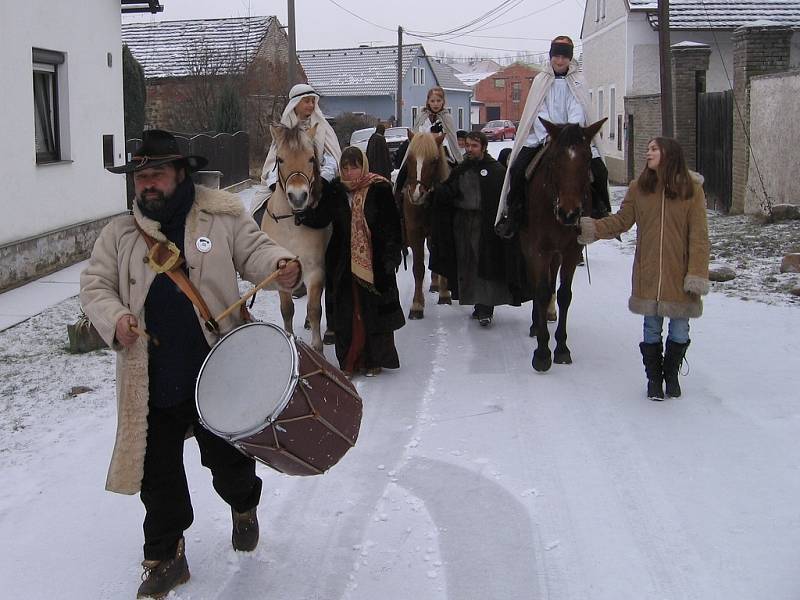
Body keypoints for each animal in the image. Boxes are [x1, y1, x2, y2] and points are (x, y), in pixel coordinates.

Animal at [400, 131, 450, 318]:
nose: (416, 194)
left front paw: (445, 294)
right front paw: (417, 305)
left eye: (434, 160)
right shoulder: (415, 232)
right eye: (409, 158)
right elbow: (418, 268)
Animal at [520, 117, 604, 370]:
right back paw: (535, 324)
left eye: (587, 159)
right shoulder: (537, 250)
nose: (569, 213)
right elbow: (540, 291)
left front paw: (561, 348)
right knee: (537, 284)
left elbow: (564, 294)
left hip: (555, 254)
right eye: (555, 160)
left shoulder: (570, 252)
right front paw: (542, 352)